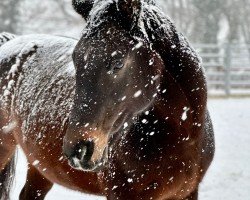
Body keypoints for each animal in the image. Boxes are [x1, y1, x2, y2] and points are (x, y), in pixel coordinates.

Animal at [0, 0, 215, 200]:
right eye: (76, 60)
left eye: (118, 62)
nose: (78, 149)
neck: (183, 137)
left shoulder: (188, 193)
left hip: (40, 168)